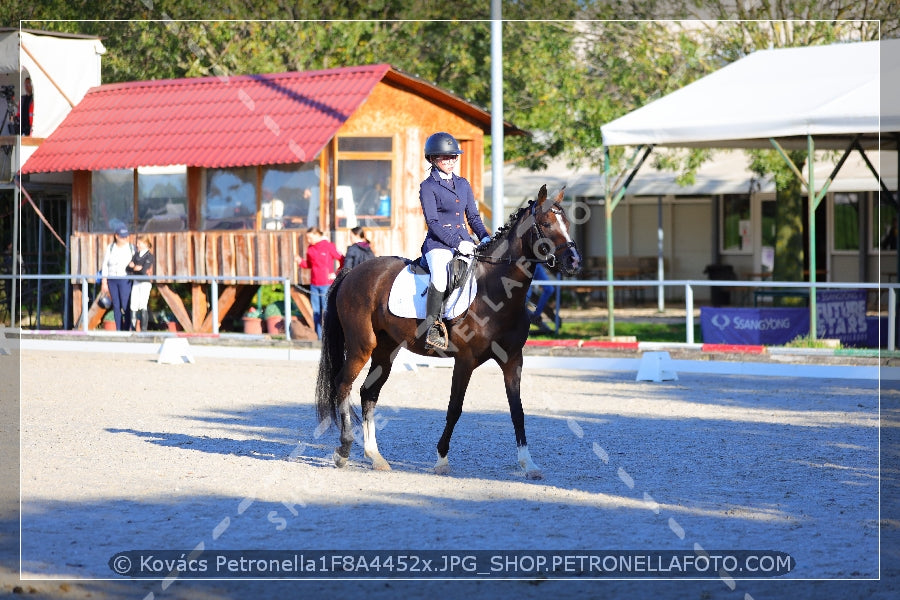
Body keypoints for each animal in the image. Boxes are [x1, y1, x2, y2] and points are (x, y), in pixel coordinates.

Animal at [316, 183, 580, 478]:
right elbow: (455, 408)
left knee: (368, 393)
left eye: (568, 223)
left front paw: (528, 464)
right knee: (343, 384)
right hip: (362, 346)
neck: (497, 290)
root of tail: (352, 272)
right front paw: (441, 459)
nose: (573, 261)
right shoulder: (465, 360)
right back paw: (343, 450)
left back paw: (376, 457)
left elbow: (517, 410)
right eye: (546, 224)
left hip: (385, 349)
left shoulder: (513, 359)